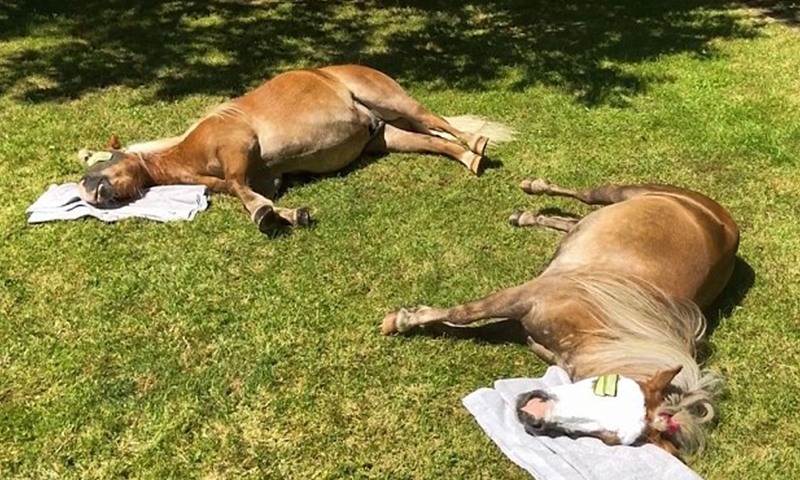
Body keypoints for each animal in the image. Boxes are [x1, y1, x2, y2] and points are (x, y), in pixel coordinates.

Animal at [75, 65, 513, 234]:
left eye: (104, 159)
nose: (90, 192)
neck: (190, 149)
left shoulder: (238, 148)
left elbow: (241, 189)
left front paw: (266, 216)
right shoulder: (264, 178)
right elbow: (248, 191)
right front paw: (289, 214)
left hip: (394, 101)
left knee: (438, 121)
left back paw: (477, 143)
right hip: (388, 136)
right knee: (433, 141)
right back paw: (471, 159)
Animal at [381, 179, 740, 457]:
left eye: (607, 439)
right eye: (607, 388)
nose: (534, 416)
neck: (594, 327)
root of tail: (723, 219)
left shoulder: (521, 325)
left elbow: (465, 325)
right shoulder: (522, 297)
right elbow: (466, 313)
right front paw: (400, 320)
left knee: (572, 224)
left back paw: (525, 216)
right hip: (625, 192)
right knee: (586, 196)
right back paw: (532, 189)